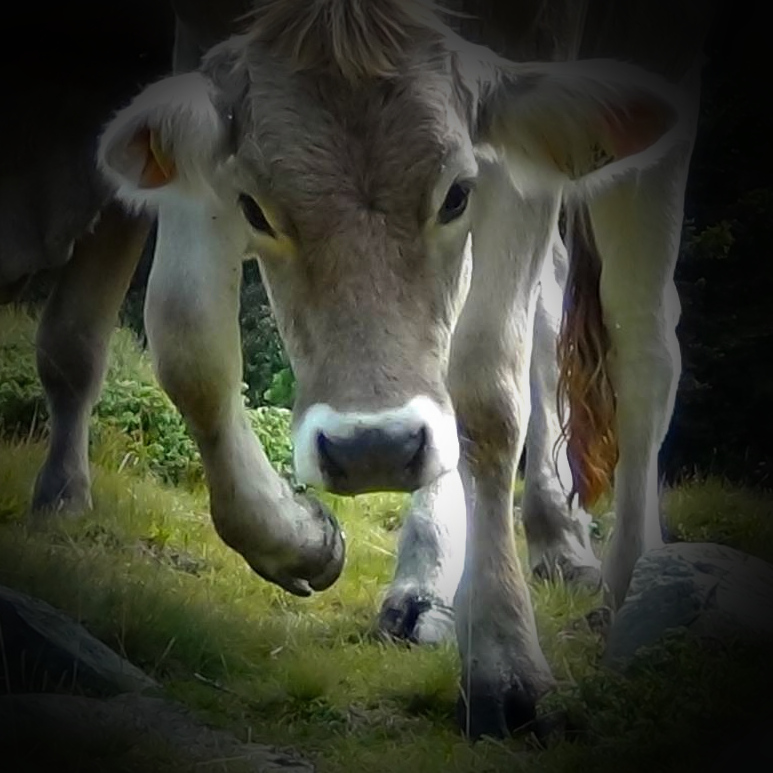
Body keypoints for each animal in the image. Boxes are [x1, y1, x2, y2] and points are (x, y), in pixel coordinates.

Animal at [4, 0, 714, 740]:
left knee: (641, 332)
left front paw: (504, 661)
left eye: (457, 194)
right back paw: (506, 555)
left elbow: (485, 388)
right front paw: (298, 539)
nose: (372, 447)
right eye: (253, 207)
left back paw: (632, 578)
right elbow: (186, 335)